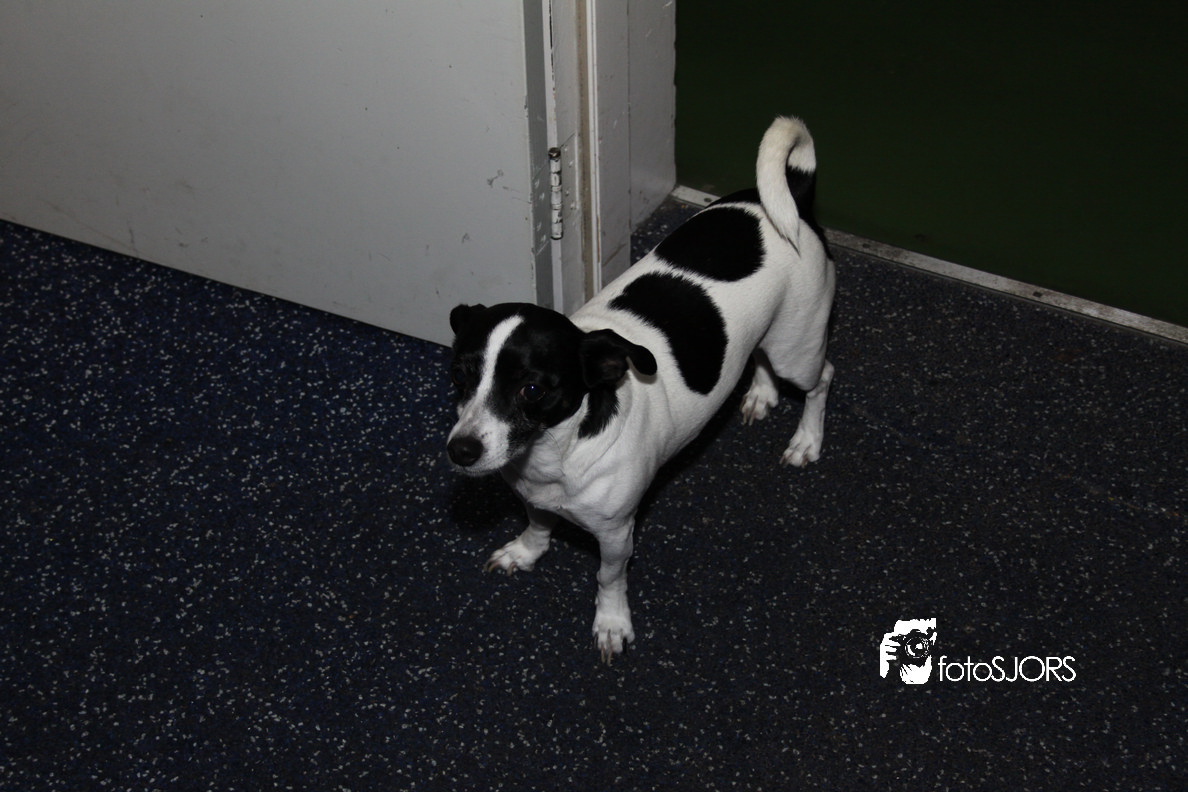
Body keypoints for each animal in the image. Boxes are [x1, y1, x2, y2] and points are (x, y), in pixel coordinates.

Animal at [446, 116, 835, 662]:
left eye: (531, 390)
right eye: (460, 375)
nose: (460, 451)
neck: (558, 452)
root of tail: (791, 199)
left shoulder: (616, 535)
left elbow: (608, 580)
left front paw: (611, 623)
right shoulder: (534, 498)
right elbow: (537, 525)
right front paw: (525, 552)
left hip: (798, 350)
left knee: (823, 378)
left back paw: (807, 440)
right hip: (770, 338)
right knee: (757, 357)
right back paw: (760, 392)